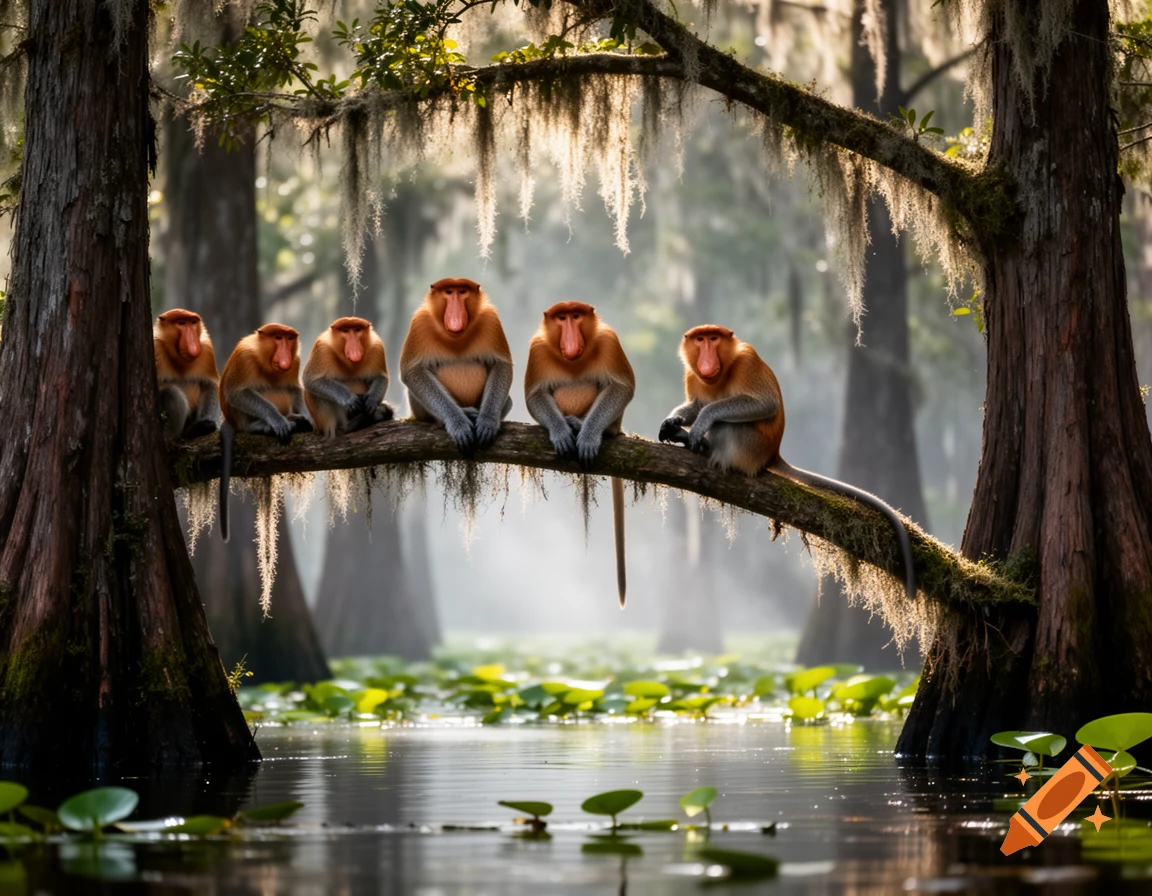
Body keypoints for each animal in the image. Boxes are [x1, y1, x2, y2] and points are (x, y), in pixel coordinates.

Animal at [154, 309, 221, 441]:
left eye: (193, 322)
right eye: (182, 323)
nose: (193, 345)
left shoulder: (206, 349)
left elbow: (210, 385)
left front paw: (203, 426)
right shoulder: (156, 347)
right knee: (169, 391)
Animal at [217, 323, 313, 542]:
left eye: (289, 339)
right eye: (278, 338)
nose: (285, 355)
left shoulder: (295, 361)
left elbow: (294, 389)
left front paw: (309, 420)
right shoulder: (244, 358)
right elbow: (237, 393)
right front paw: (277, 421)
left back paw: (296, 420)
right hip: (240, 418)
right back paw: (262, 425)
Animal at [399, 278, 513, 455]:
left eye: (462, 292)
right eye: (448, 292)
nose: (455, 314)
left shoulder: (490, 319)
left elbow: (501, 364)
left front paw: (487, 420)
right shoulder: (420, 322)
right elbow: (411, 371)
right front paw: (458, 422)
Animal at [525, 302, 635, 607]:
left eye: (576, 317)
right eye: (562, 319)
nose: (571, 339)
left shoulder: (609, 342)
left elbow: (622, 387)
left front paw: (587, 436)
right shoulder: (538, 349)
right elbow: (534, 395)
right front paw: (561, 432)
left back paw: (589, 428)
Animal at [659, 325, 916, 601]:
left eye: (713, 339)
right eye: (700, 340)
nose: (707, 355)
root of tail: (772, 454)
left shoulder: (746, 362)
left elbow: (763, 404)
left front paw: (699, 424)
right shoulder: (692, 374)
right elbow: (696, 404)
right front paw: (672, 422)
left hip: (749, 446)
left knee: (726, 422)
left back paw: (706, 450)